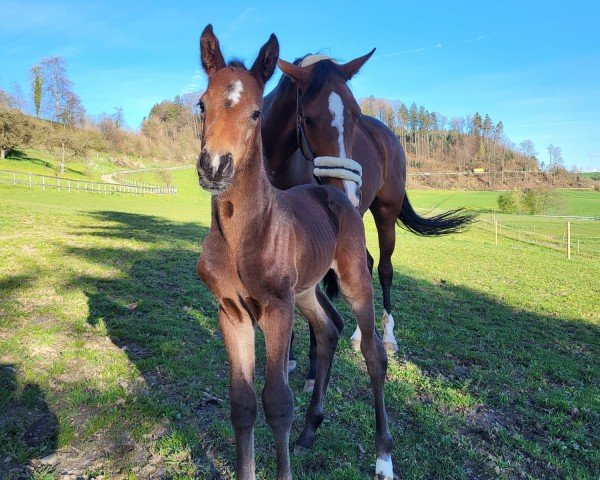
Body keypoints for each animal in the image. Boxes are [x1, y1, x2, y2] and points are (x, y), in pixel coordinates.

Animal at [196, 25, 394, 480]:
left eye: (256, 112)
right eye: (201, 105)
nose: (214, 167)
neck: (244, 235)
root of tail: (336, 193)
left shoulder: (276, 308)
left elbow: (278, 403)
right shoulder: (231, 312)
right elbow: (243, 404)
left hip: (353, 278)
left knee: (373, 352)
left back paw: (384, 457)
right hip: (306, 290)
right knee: (328, 329)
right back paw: (310, 430)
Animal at [262, 52, 474, 362]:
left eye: (355, 115)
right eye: (309, 119)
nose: (347, 193)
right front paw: (286, 356)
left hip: (385, 213)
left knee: (384, 268)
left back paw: (386, 336)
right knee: (368, 264)